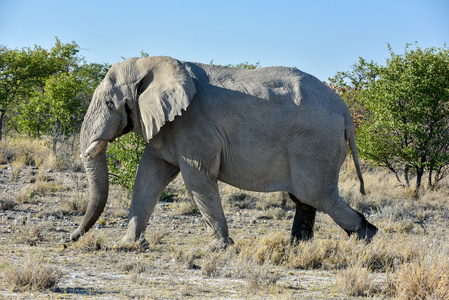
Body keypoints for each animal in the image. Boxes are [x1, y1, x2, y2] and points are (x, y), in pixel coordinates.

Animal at [71, 55, 378, 248]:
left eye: (110, 104)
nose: (70, 239)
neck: (153, 63)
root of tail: (344, 109)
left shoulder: (193, 124)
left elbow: (198, 177)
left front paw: (219, 247)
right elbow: (148, 177)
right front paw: (126, 245)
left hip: (315, 143)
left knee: (314, 195)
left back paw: (367, 237)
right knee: (306, 197)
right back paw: (297, 248)